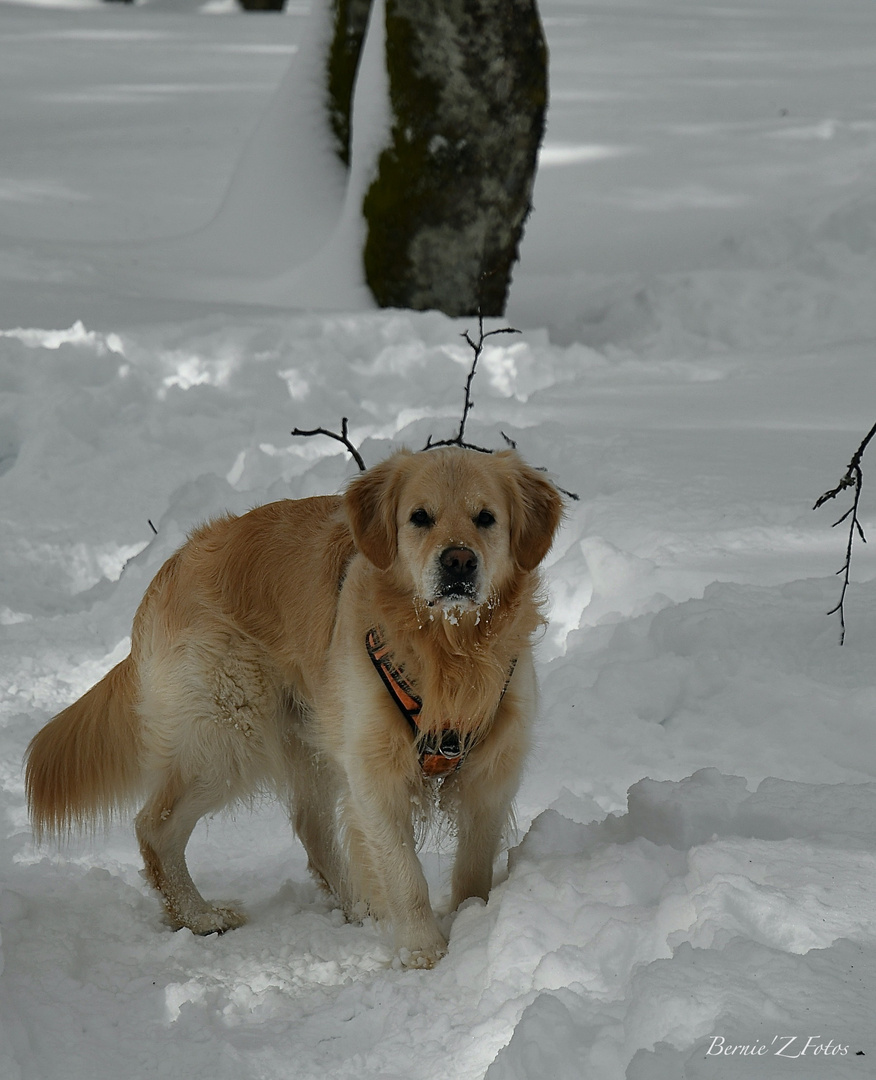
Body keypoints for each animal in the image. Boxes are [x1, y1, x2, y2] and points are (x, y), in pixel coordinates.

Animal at [27, 442, 565, 967]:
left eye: (486, 517)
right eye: (419, 517)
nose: (458, 562)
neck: (449, 652)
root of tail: (171, 568)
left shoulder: (491, 772)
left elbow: (473, 868)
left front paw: (475, 921)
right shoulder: (376, 771)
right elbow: (404, 871)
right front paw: (423, 949)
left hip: (303, 734)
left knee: (309, 825)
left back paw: (360, 908)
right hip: (228, 737)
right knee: (154, 827)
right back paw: (200, 917)